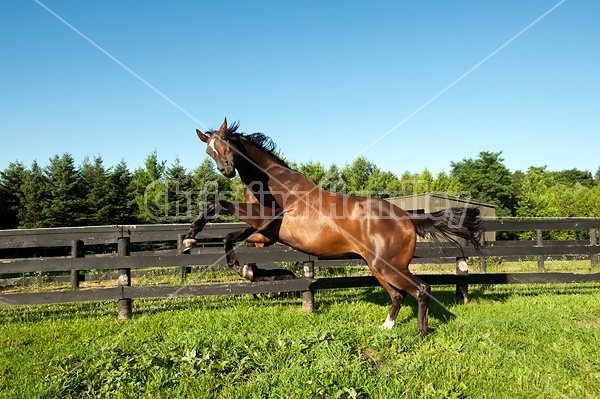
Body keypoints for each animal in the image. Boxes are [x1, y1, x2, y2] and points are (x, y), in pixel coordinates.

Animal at [182, 119, 478, 338]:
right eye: (208, 151)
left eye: (226, 143)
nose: (226, 170)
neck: (272, 183)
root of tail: (407, 218)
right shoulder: (265, 235)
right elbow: (228, 238)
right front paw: (246, 269)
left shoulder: (265, 220)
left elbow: (219, 206)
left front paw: (190, 238)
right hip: (378, 267)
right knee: (398, 295)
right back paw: (386, 327)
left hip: (388, 266)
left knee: (421, 289)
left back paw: (420, 333)